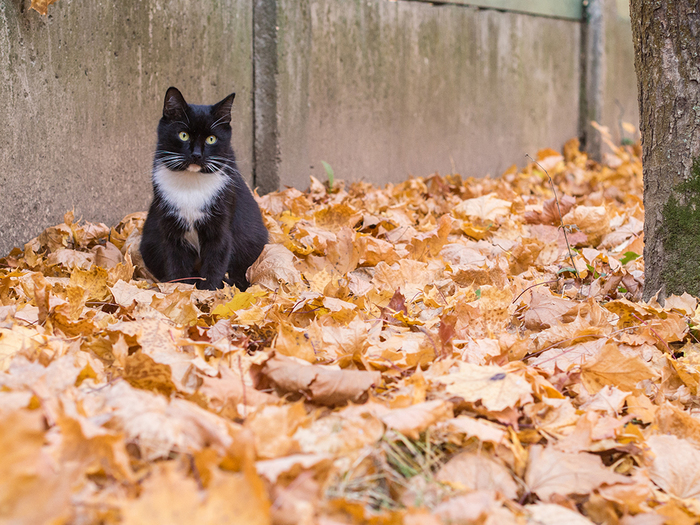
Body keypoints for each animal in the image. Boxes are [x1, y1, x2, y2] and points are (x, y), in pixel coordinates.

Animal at [139, 86, 268, 290]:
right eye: (183, 135)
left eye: (211, 139)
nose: (197, 155)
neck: (192, 184)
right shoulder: (171, 229)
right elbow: (176, 264)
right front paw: (181, 291)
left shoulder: (221, 226)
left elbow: (215, 261)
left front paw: (208, 293)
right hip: (149, 242)